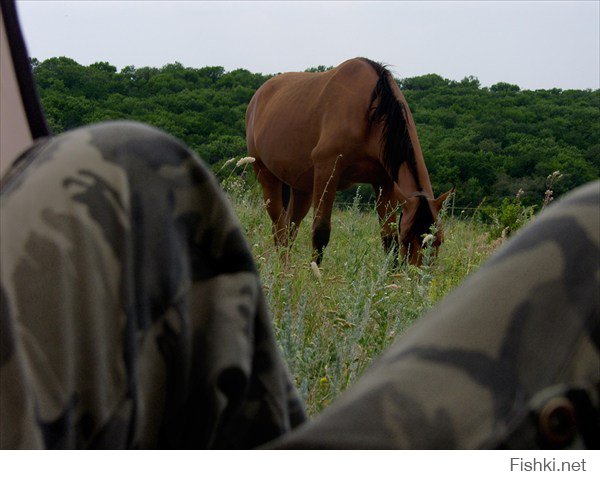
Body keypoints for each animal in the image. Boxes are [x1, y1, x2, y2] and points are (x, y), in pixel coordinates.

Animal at [246, 58, 452, 266]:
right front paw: (315, 273)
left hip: (301, 188)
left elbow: (389, 237)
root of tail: (257, 97)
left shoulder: (384, 182)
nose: (418, 273)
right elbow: (320, 232)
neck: (369, 111)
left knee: (289, 229)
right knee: (279, 227)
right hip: (266, 176)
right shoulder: (327, 170)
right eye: (408, 239)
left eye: (439, 240)